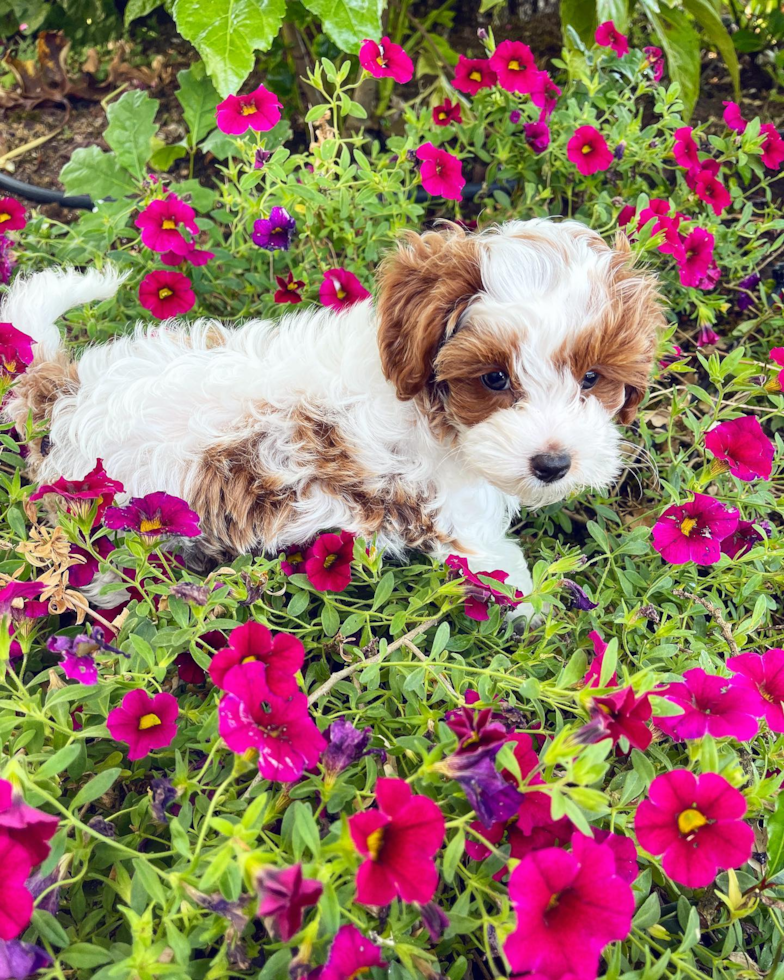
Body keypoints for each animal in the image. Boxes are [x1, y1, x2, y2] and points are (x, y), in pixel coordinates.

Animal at [3, 218, 664, 608]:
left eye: (593, 378)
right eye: (494, 378)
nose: (553, 465)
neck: (429, 410)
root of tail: (64, 388)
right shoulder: (457, 511)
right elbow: (497, 561)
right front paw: (537, 604)